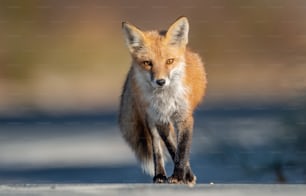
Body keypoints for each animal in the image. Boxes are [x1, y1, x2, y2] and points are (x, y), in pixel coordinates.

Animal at [118, 16, 207, 185]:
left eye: (169, 61)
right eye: (147, 63)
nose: (160, 82)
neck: (165, 98)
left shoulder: (184, 117)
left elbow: (182, 149)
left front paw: (180, 175)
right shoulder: (160, 119)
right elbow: (172, 148)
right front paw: (181, 175)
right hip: (149, 120)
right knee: (157, 147)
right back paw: (160, 174)